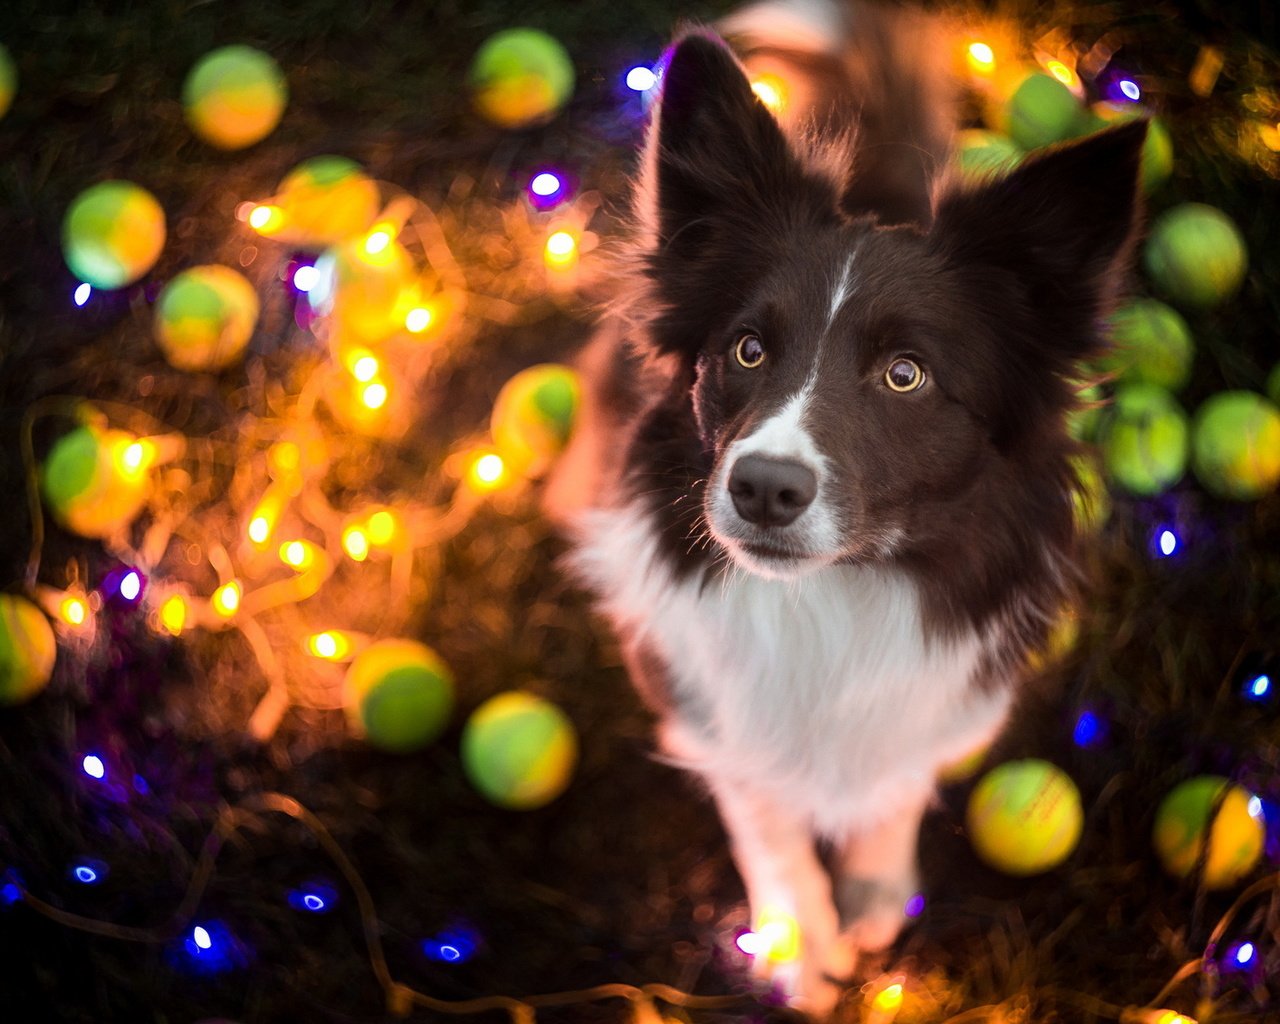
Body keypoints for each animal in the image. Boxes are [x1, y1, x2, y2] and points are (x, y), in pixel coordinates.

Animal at [545, 0, 1146, 1008]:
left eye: (906, 374)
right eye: (746, 348)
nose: (762, 487)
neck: (828, 601)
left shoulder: (946, 696)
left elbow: (896, 781)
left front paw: (875, 888)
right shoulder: (698, 699)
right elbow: (761, 809)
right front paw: (797, 938)